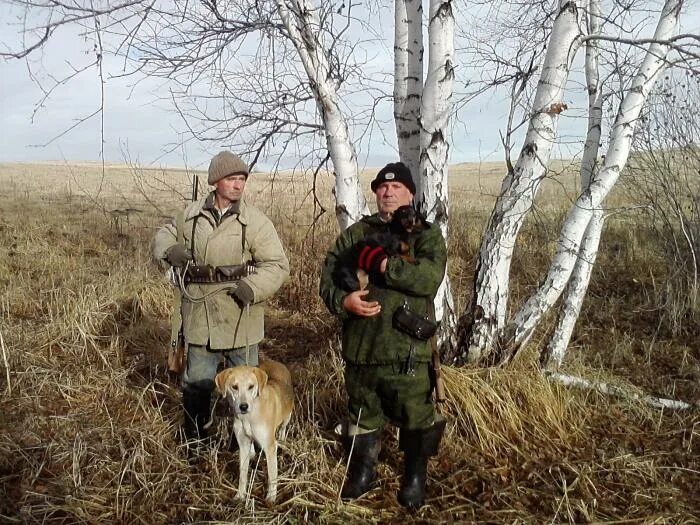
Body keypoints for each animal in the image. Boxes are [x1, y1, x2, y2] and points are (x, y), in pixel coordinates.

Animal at [212, 358, 292, 502]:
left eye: (251, 386)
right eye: (234, 387)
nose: (243, 406)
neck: (249, 416)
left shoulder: (270, 447)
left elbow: (272, 475)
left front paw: (271, 498)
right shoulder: (243, 444)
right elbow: (243, 474)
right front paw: (240, 495)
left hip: (287, 415)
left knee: (283, 428)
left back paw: (282, 440)